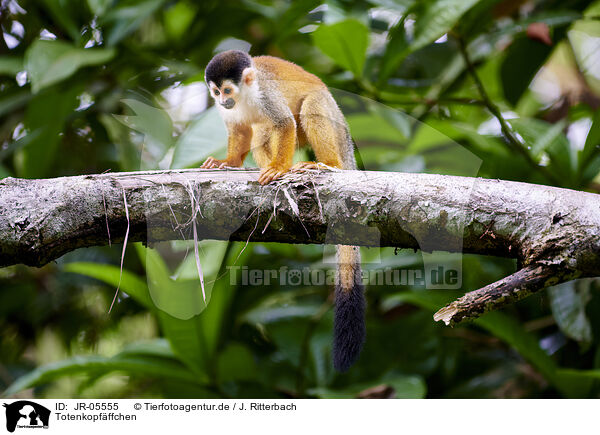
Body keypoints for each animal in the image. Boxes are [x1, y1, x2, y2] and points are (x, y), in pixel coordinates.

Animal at [202, 50, 366, 372]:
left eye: (227, 90)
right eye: (216, 93)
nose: (223, 101)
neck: (245, 97)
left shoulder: (266, 96)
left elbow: (284, 123)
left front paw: (278, 169)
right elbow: (240, 130)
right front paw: (228, 162)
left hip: (331, 114)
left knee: (308, 110)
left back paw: (323, 164)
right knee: (260, 133)